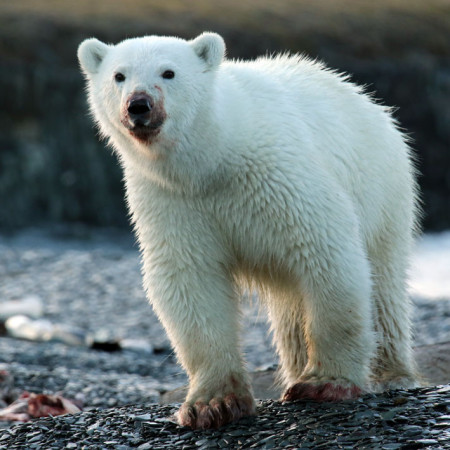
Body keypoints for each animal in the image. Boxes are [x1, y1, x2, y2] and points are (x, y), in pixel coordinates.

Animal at [76, 32, 418, 428]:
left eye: (169, 72)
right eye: (119, 76)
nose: (138, 105)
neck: (214, 158)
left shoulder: (278, 175)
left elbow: (323, 248)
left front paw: (326, 383)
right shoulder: (171, 200)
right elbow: (190, 279)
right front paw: (213, 404)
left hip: (383, 190)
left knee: (383, 283)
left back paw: (390, 374)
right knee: (291, 308)